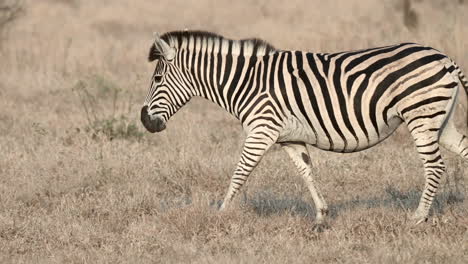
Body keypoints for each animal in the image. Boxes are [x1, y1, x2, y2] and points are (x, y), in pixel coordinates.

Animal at [142, 29, 468, 226]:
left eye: (156, 79)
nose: (145, 121)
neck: (246, 82)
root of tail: (445, 58)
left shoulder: (261, 130)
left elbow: (240, 172)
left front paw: (222, 213)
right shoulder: (289, 138)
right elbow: (306, 172)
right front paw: (321, 217)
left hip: (422, 118)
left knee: (435, 167)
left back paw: (418, 217)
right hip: (441, 121)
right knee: (463, 150)